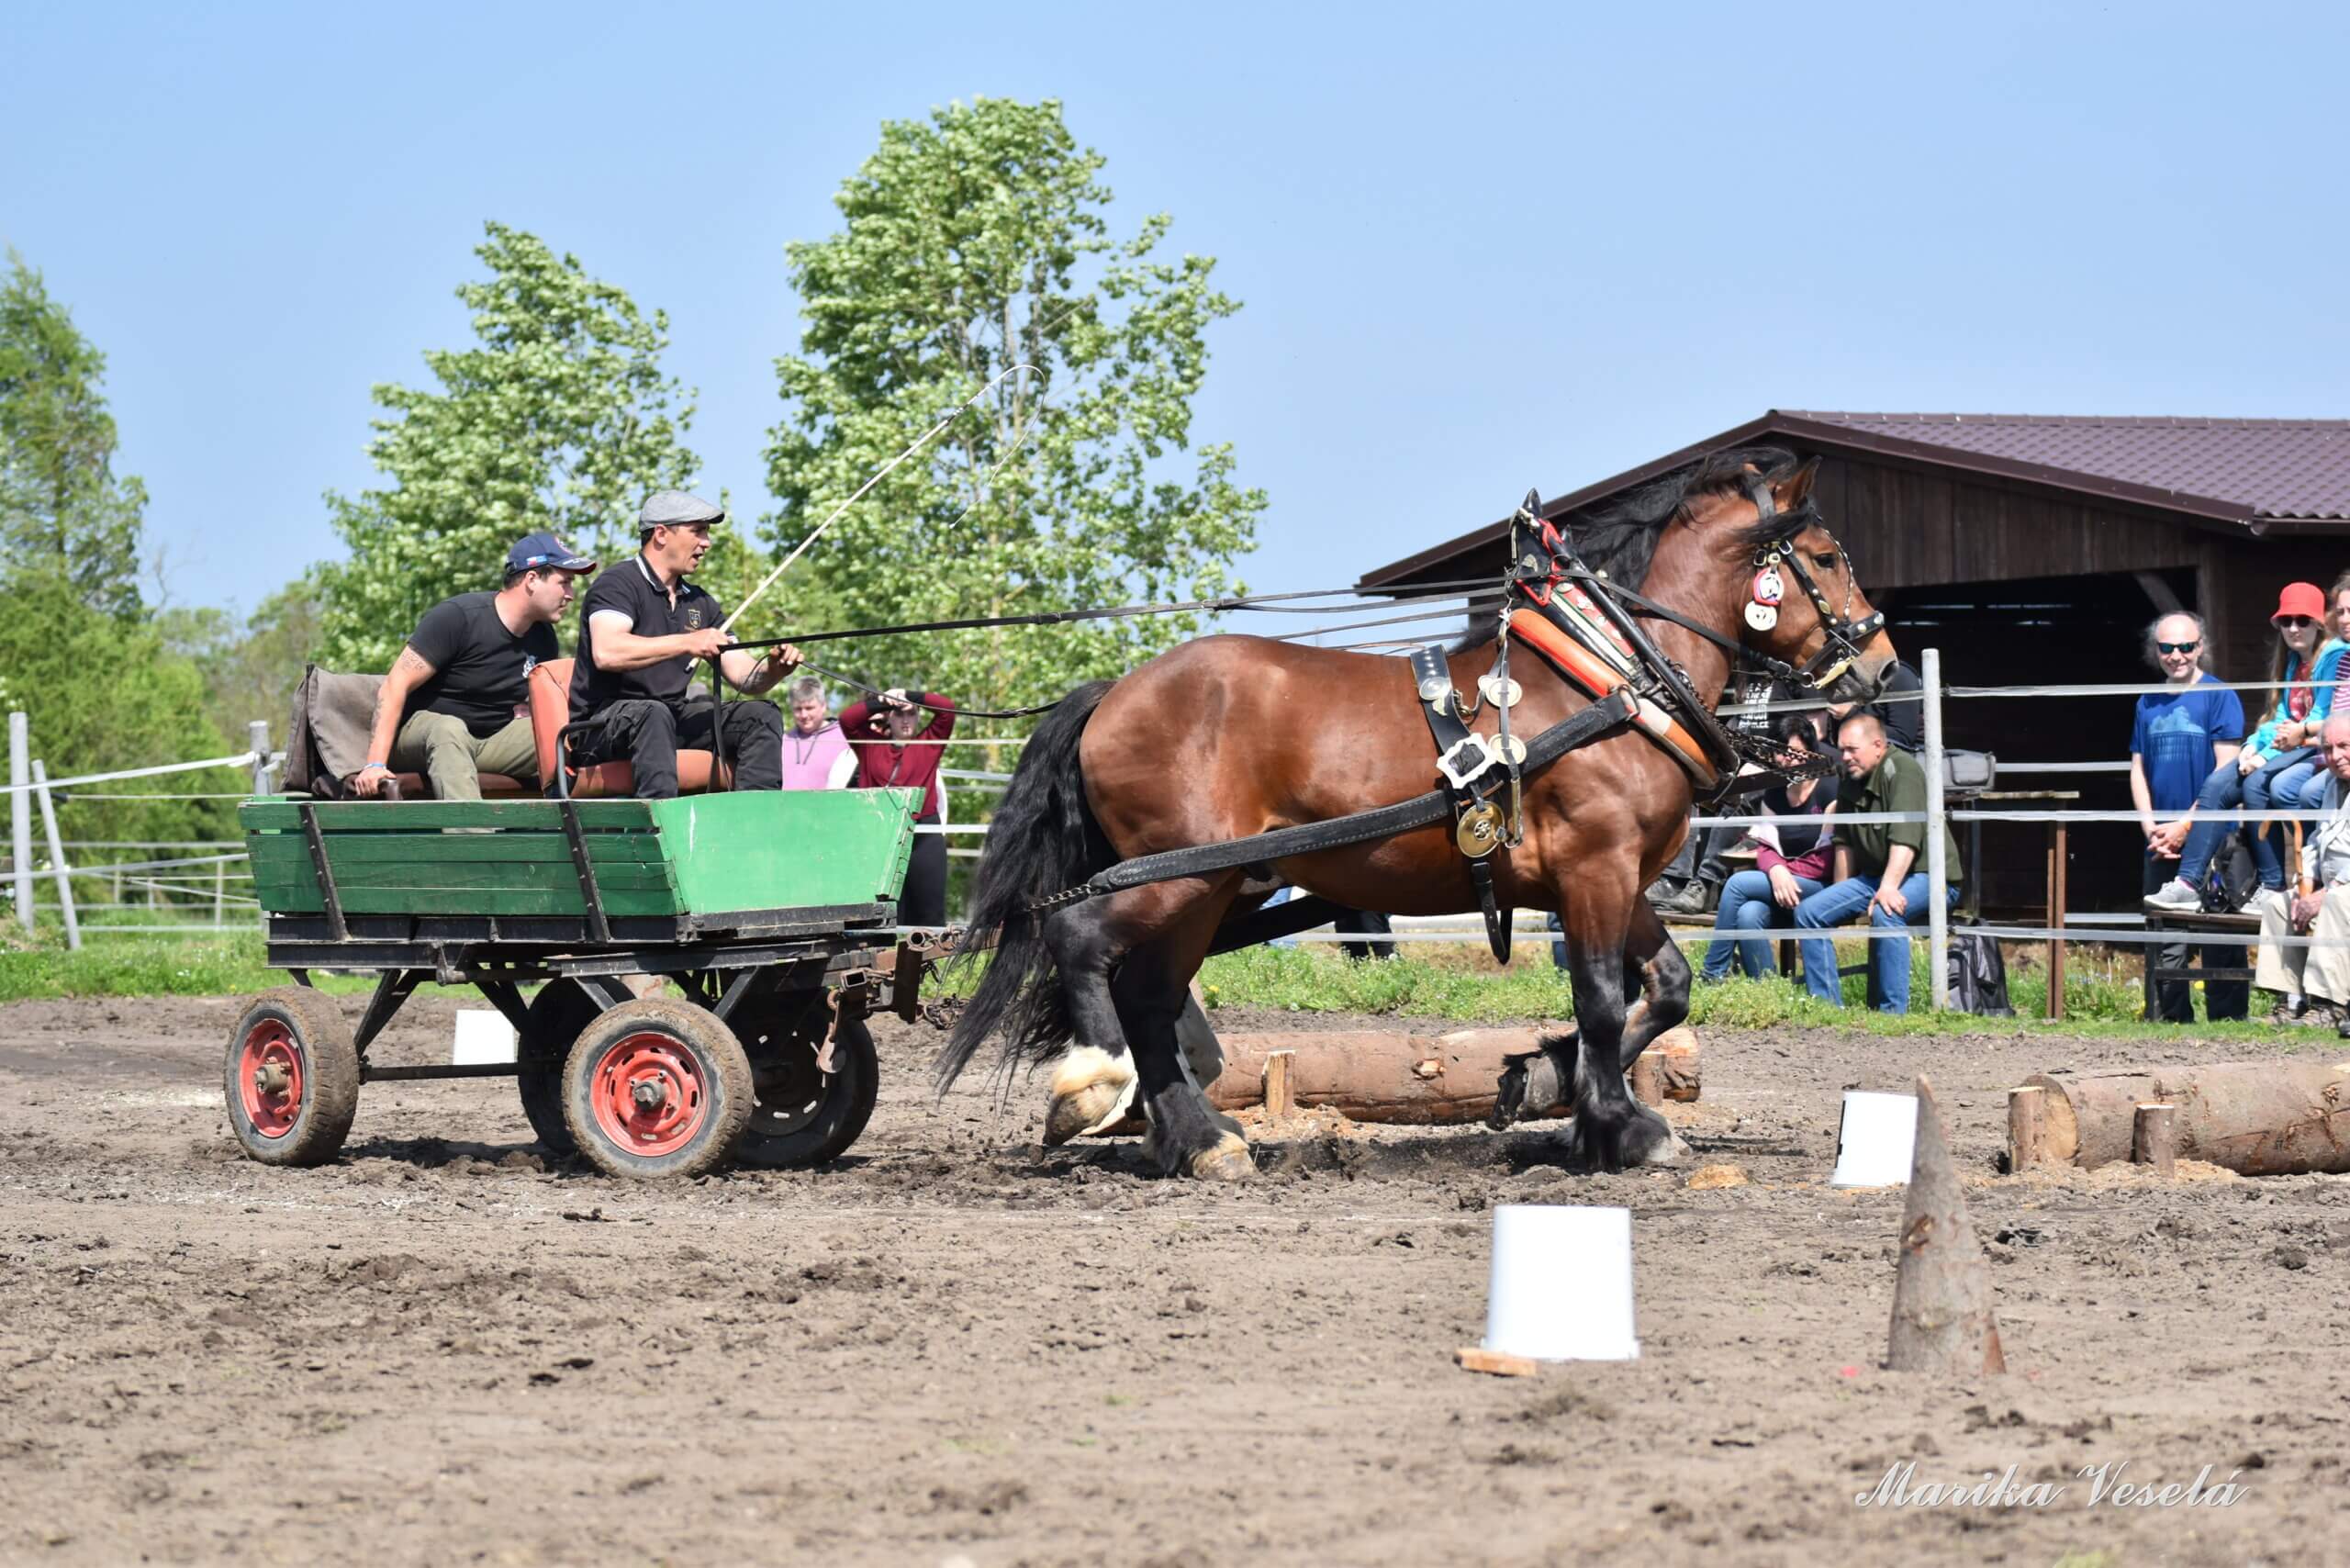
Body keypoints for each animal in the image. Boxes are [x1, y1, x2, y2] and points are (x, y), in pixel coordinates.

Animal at [930, 443, 1889, 1175]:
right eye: (1828, 558)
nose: (1881, 664)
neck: (1613, 679)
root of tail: (1116, 693)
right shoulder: (1596, 867)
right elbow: (1601, 1001)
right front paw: (1623, 1126)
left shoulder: (1612, 880)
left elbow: (1666, 989)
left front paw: (1550, 1085)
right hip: (1179, 877)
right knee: (1084, 943)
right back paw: (1097, 1087)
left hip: (1210, 888)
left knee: (1151, 995)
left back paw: (1200, 1141)